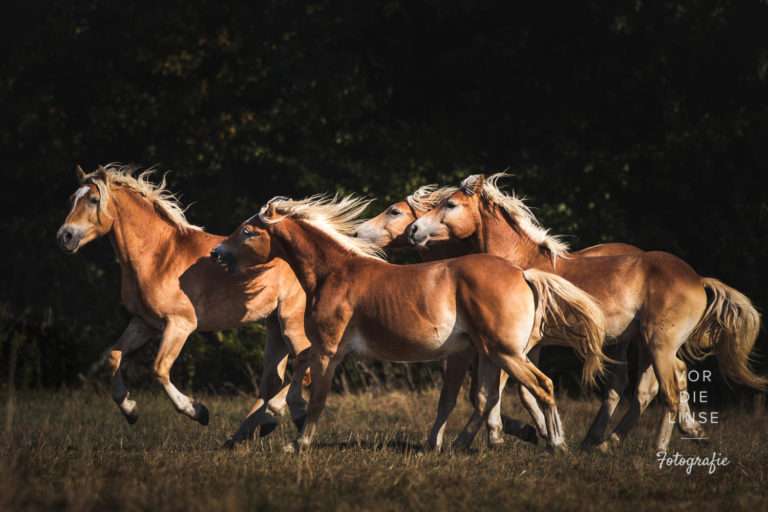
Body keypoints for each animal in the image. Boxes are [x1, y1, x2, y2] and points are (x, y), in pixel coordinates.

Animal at [55, 165, 310, 444]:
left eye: (93, 199)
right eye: (71, 199)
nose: (65, 236)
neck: (158, 257)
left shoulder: (179, 324)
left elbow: (159, 369)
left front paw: (197, 411)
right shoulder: (144, 323)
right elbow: (114, 356)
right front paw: (130, 411)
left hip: (291, 319)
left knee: (305, 364)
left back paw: (273, 415)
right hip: (275, 324)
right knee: (275, 378)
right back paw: (250, 429)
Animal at [213, 193, 608, 452]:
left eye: (247, 232)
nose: (217, 253)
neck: (335, 272)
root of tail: (523, 274)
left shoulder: (328, 350)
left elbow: (317, 397)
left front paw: (299, 442)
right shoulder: (328, 349)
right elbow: (297, 378)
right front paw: (283, 419)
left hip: (505, 352)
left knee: (543, 386)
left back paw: (556, 444)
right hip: (491, 353)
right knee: (489, 398)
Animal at [408, 173, 760, 452]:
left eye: (451, 205)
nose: (413, 230)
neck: (523, 266)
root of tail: (698, 279)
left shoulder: (517, 347)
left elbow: (498, 392)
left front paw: (510, 435)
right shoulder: (529, 347)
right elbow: (521, 392)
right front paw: (538, 432)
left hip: (658, 344)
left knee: (666, 391)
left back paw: (652, 448)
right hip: (645, 344)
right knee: (649, 387)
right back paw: (608, 440)